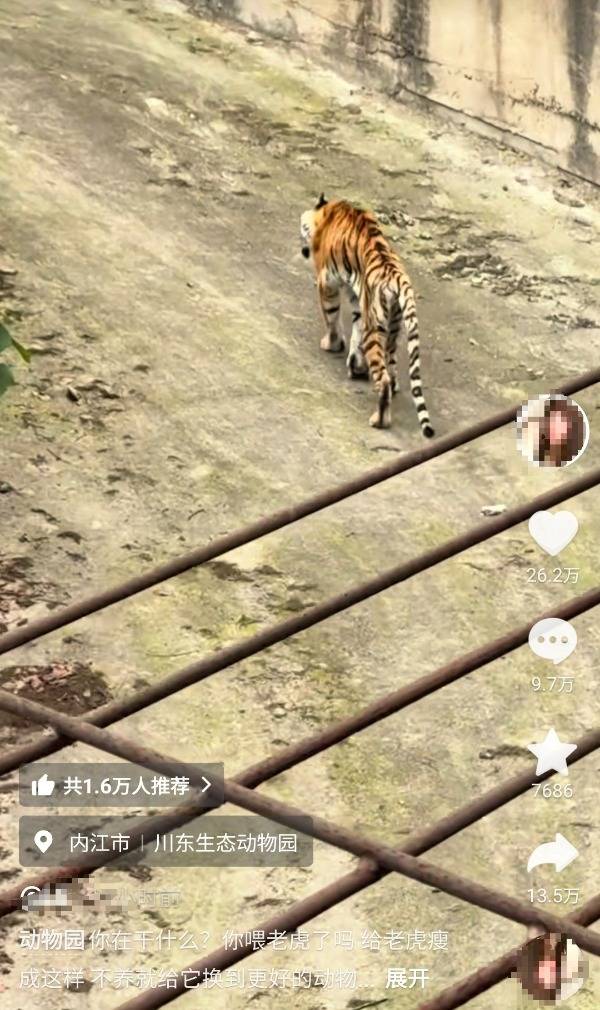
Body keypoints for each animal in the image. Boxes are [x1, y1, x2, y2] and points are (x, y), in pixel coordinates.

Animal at [300, 194, 434, 436]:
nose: (304, 249)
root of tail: (396, 276)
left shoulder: (327, 282)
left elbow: (331, 317)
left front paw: (332, 344)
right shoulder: (358, 298)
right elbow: (356, 331)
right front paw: (356, 365)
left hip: (377, 328)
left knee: (383, 380)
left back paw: (379, 420)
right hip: (393, 325)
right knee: (391, 367)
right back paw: (393, 386)